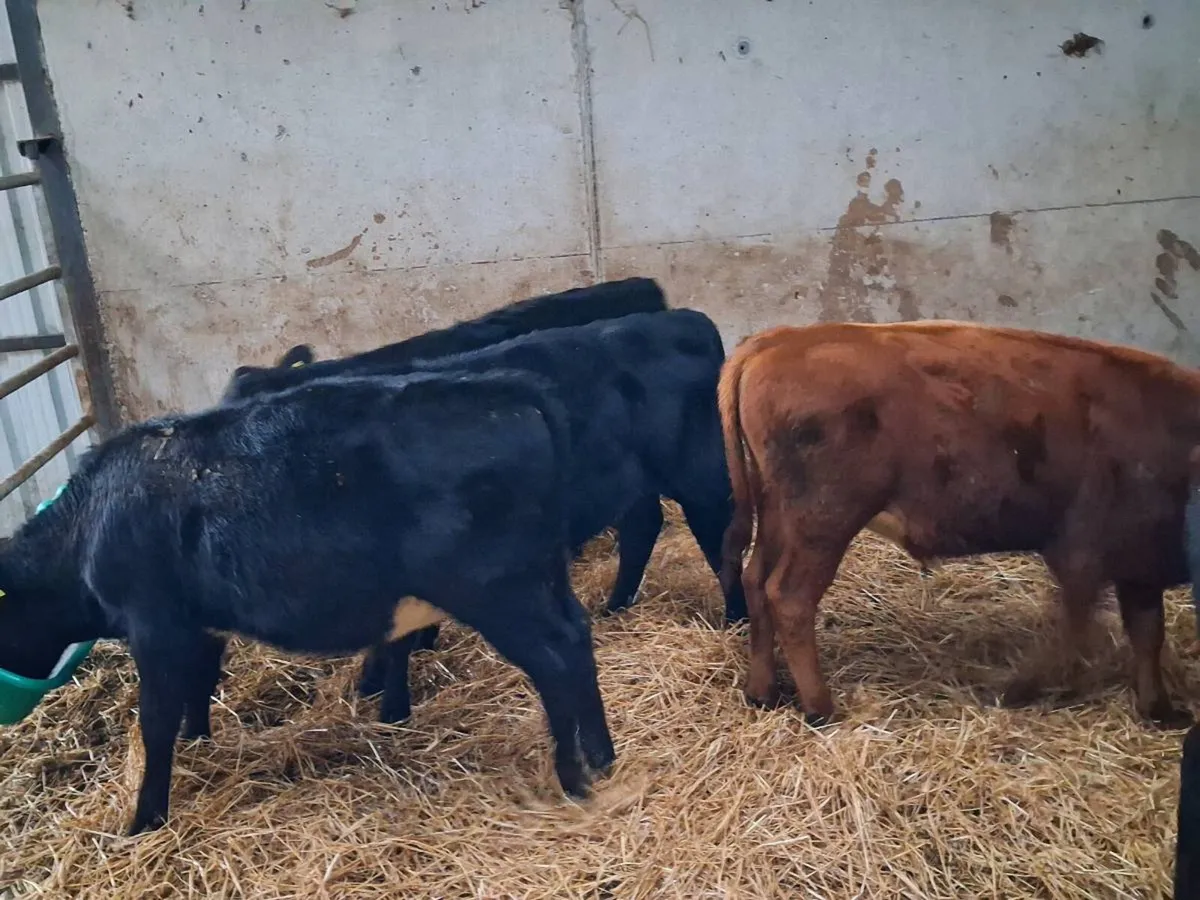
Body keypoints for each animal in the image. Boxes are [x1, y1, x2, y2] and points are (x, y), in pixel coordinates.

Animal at [0, 369, 614, 836]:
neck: (90, 521)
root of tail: (508, 389)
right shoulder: (200, 623)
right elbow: (199, 686)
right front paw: (199, 741)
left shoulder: (154, 623)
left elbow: (155, 718)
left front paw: (145, 818)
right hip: (542, 577)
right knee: (577, 639)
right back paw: (602, 758)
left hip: (498, 588)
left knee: (555, 658)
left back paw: (573, 776)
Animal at [226, 308, 746, 724]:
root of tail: (682, 318)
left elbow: (396, 642)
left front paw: (391, 707)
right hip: (629, 480)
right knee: (642, 527)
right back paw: (616, 606)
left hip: (698, 474)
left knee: (718, 539)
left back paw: (735, 618)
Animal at [718, 320, 1200, 728]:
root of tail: (779, 340)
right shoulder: (1082, 557)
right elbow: (1075, 633)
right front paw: (1022, 689)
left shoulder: (1138, 569)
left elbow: (1147, 633)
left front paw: (1161, 710)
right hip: (822, 524)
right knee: (790, 596)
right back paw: (821, 708)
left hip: (779, 516)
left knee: (756, 581)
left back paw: (763, 692)